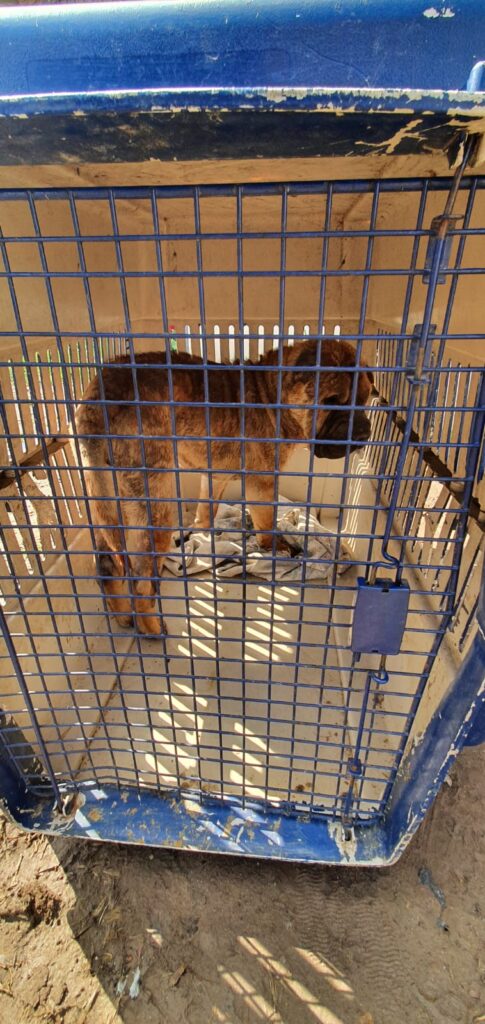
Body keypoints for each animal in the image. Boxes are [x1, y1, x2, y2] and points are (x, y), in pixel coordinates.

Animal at [74, 339, 373, 637]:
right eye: (332, 401)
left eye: (365, 399)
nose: (363, 434)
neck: (272, 395)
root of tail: (97, 399)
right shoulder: (262, 482)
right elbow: (266, 522)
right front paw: (275, 547)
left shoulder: (213, 477)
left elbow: (206, 511)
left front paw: (204, 535)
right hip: (154, 508)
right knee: (140, 582)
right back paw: (152, 628)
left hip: (108, 504)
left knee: (107, 564)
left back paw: (122, 615)